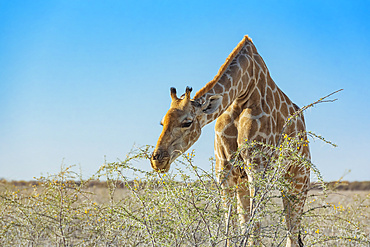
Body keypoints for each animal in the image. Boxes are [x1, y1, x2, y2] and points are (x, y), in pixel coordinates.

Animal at [150, 35, 310, 247]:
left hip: (298, 179)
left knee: (292, 230)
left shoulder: (257, 169)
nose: (157, 159)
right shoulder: (225, 172)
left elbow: (254, 232)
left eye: (187, 122)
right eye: (162, 122)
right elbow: (231, 230)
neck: (243, 91)